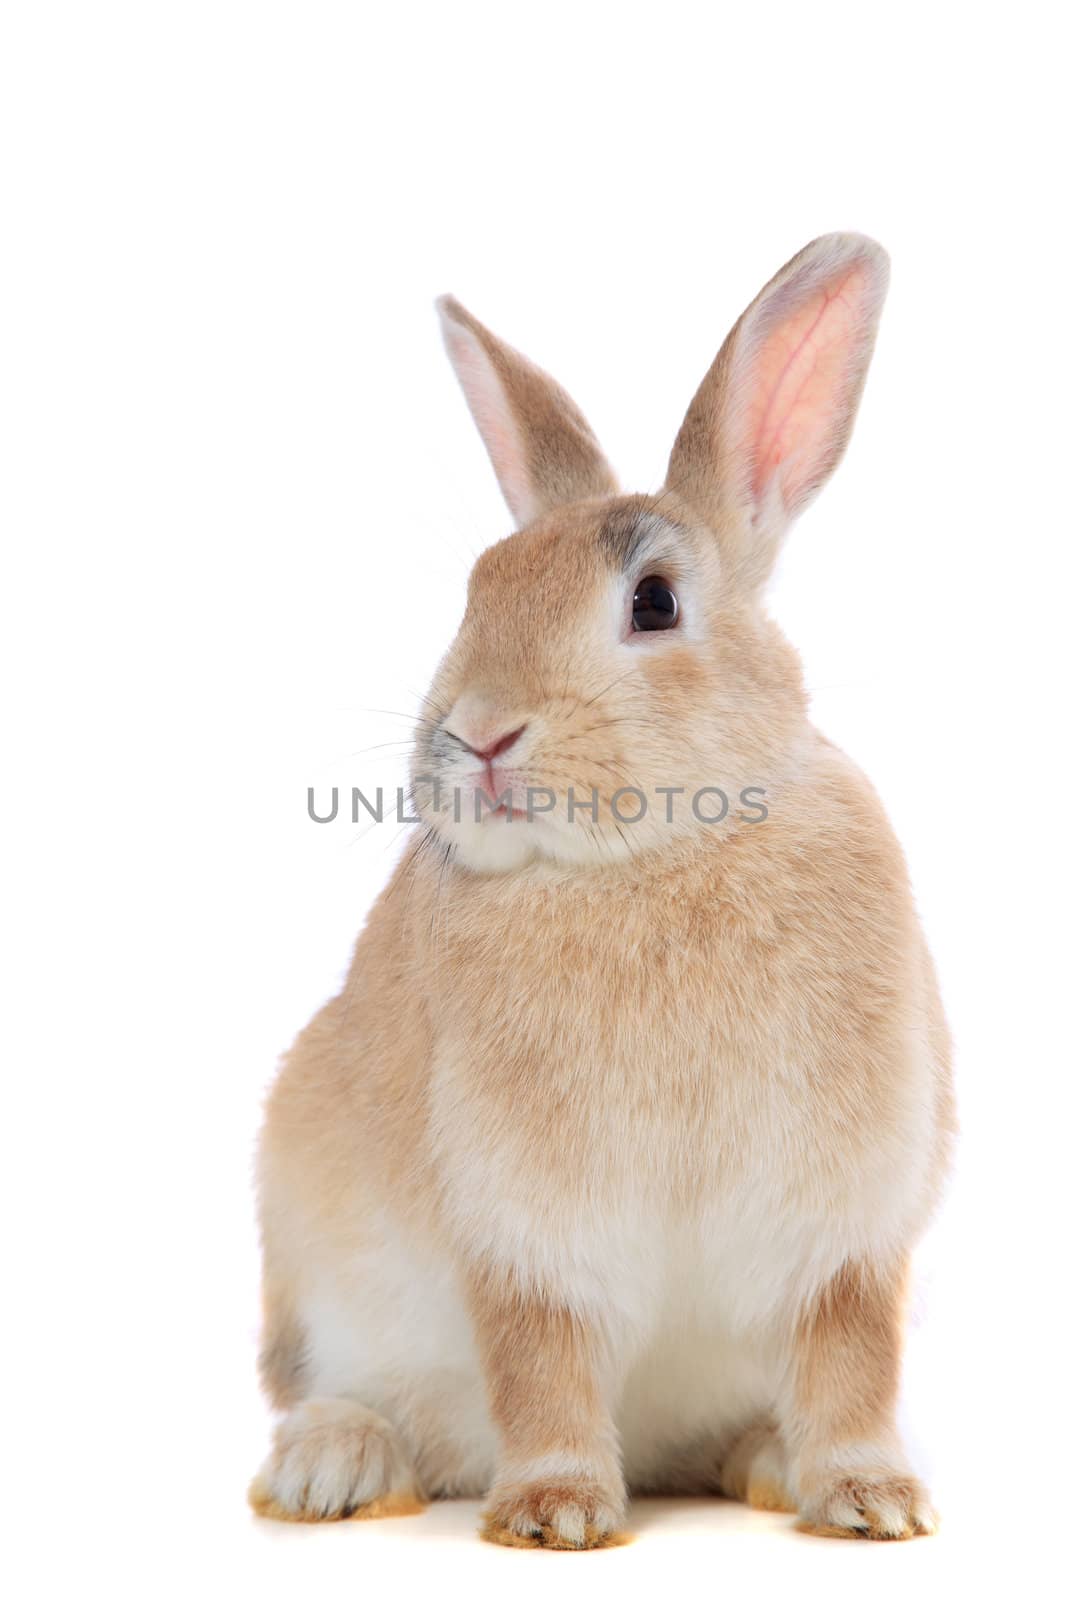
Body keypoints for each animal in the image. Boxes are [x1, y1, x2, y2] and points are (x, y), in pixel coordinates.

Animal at [252, 236, 959, 1548]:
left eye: (654, 603)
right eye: (477, 590)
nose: (479, 734)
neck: (649, 862)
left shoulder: (846, 1218)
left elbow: (848, 1351)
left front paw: (869, 1500)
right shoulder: (524, 1226)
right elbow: (542, 1358)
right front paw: (555, 1512)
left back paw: (767, 1463)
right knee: (357, 1399)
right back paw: (333, 1464)